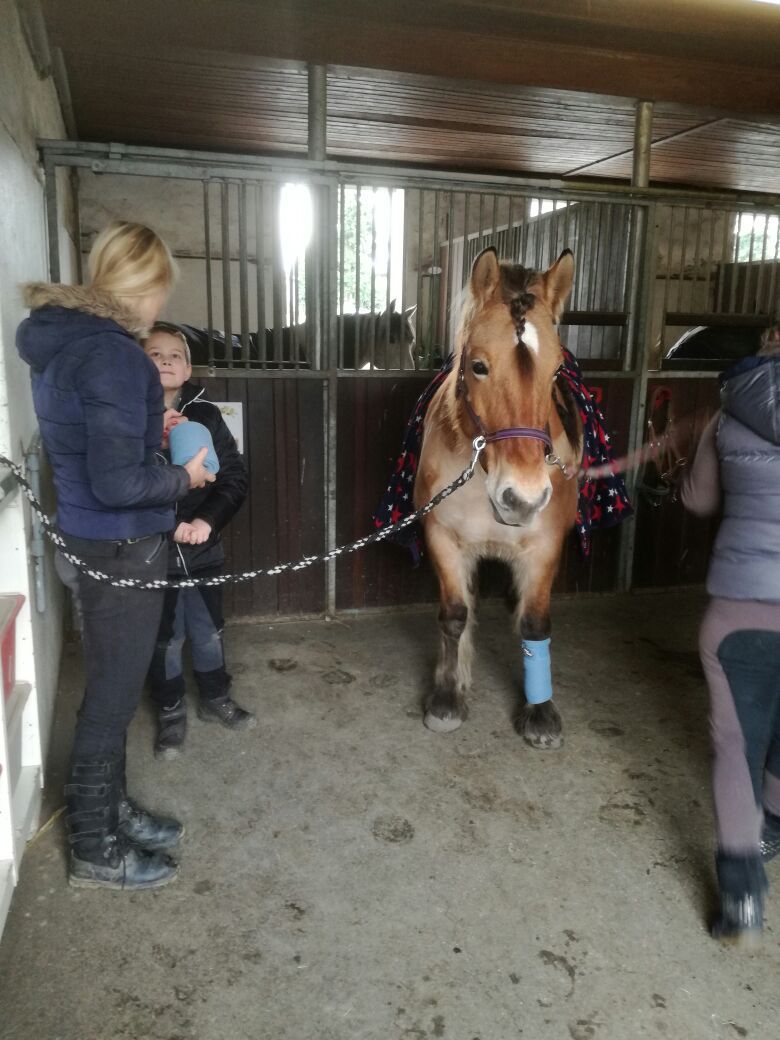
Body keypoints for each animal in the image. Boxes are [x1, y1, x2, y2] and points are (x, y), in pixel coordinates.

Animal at [418, 247, 582, 752]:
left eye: (556, 371)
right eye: (478, 366)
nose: (523, 498)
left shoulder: (545, 547)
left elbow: (535, 625)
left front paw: (540, 712)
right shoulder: (442, 538)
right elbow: (455, 616)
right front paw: (447, 697)